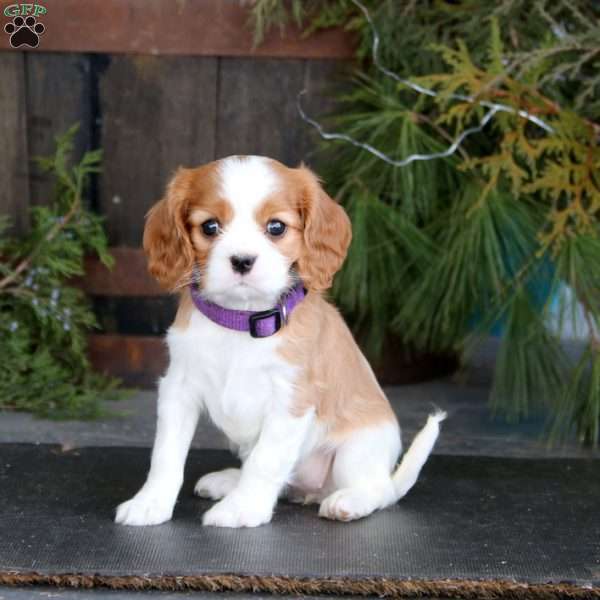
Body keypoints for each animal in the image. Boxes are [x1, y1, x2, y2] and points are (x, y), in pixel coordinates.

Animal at [116, 157, 446, 528]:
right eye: (210, 227)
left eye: (276, 227)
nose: (242, 260)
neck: (243, 319)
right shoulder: (179, 388)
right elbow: (166, 454)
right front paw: (150, 502)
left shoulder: (291, 400)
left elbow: (266, 460)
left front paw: (241, 508)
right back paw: (230, 480)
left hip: (358, 449)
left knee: (380, 492)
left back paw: (350, 501)